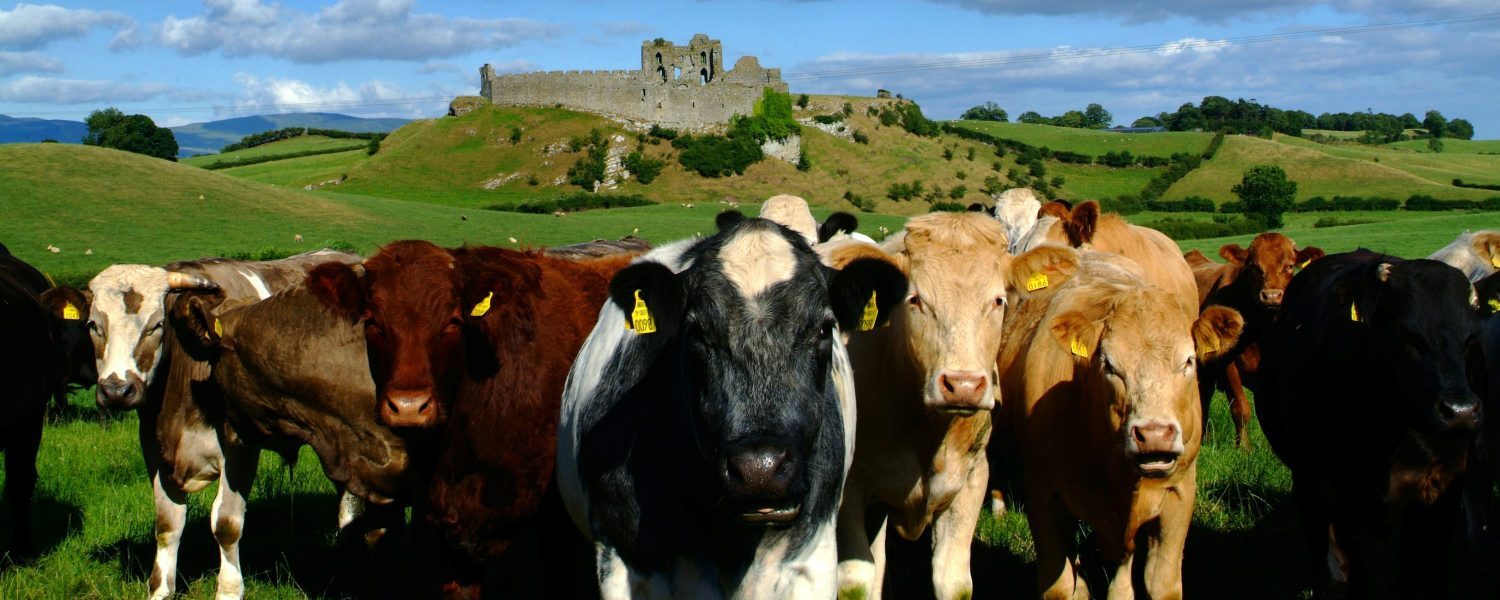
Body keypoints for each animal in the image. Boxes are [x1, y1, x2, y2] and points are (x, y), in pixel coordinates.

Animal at [822, 213, 1080, 600]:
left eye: (998, 300)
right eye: (914, 300)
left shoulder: (971, 482)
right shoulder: (850, 491)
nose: (963, 386)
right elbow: (855, 583)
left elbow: (953, 582)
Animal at [996, 252, 1242, 600]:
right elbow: (1060, 587)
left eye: (1188, 361)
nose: (1155, 435)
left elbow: (1161, 584)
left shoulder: (1180, 493)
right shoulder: (1043, 494)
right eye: (1109, 365)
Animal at [1254, 250, 1488, 597]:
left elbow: (1422, 576)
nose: (1460, 410)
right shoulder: (1320, 486)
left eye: (1470, 337)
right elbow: (1340, 575)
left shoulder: (1442, 489)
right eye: (1407, 336)